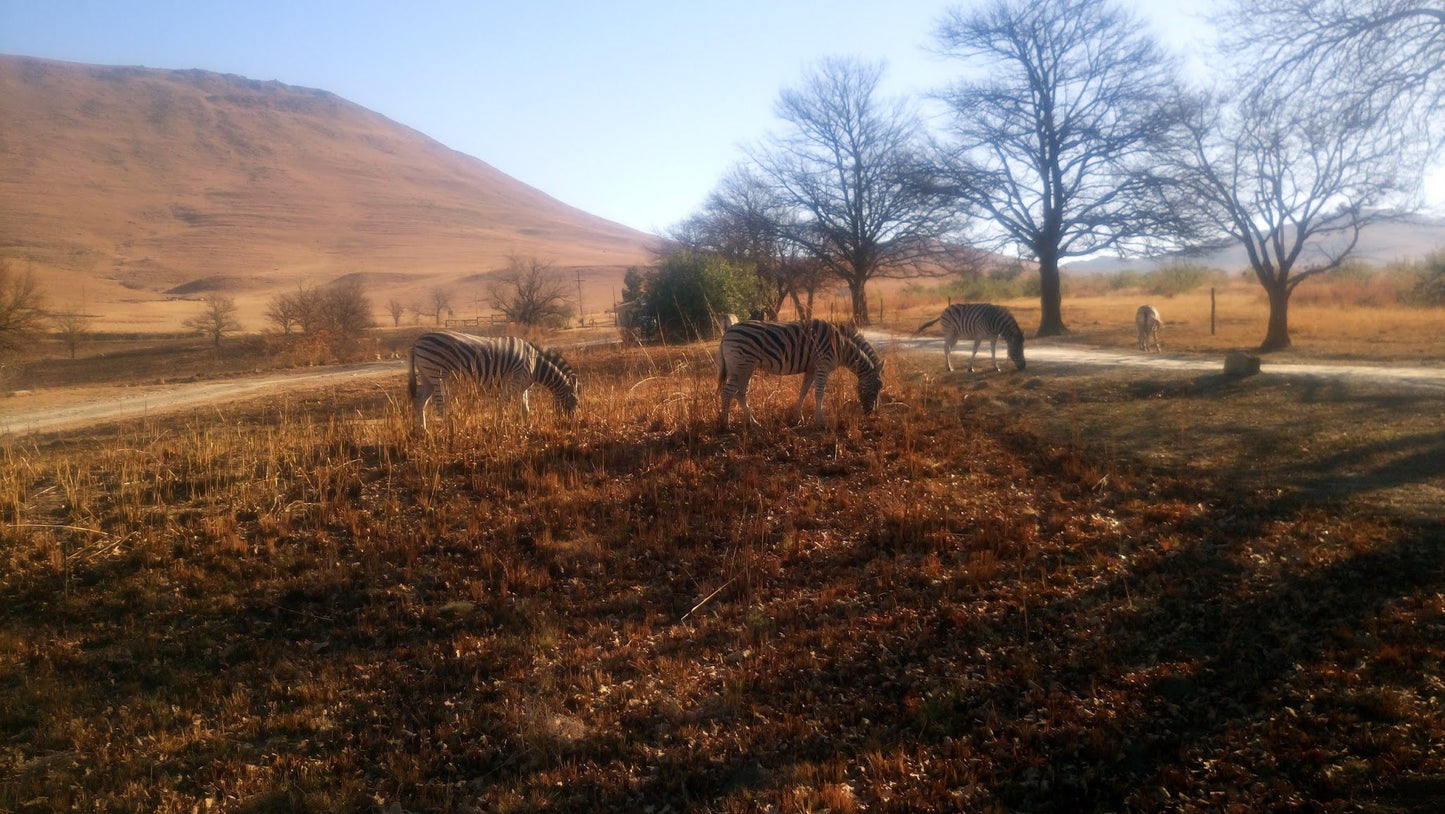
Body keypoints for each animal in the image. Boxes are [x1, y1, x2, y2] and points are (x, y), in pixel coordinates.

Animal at [407, 331, 575, 427]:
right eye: (574, 401)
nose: (568, 423)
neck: (535, 365)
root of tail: (417, 340)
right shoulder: (515, 381)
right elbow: (505, 404)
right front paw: (501, 425)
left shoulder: (522, 386)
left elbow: (525, 409)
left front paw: (526, 426)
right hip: (438, 375)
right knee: (440, 405)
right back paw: (449, 431)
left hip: (428, 377)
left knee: (420, 402)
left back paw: (424, 431)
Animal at [719, 319, 884, 433]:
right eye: (878, 387)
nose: (872, 414)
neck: (842, 345)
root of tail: (728, 330)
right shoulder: (823, 364)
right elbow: (819, 393)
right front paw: (820, 421)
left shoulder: (811, 368)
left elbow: (803, 391)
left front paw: (799, 417)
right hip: (740, 366)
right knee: (728, 393)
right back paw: (725, 424)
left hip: (745, 368)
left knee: (740, 393)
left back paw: (752, 423)